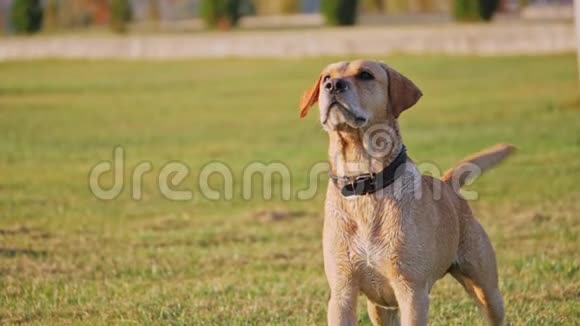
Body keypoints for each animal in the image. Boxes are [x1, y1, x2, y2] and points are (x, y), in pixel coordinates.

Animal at [300, 59, 512, 324]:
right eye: (326, 77)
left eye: (366, 75)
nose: (333, 85)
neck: (364, 184)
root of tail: (447, 184)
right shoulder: (342, 292)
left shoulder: (412, 291)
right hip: (379, 308)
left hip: (486, 287)